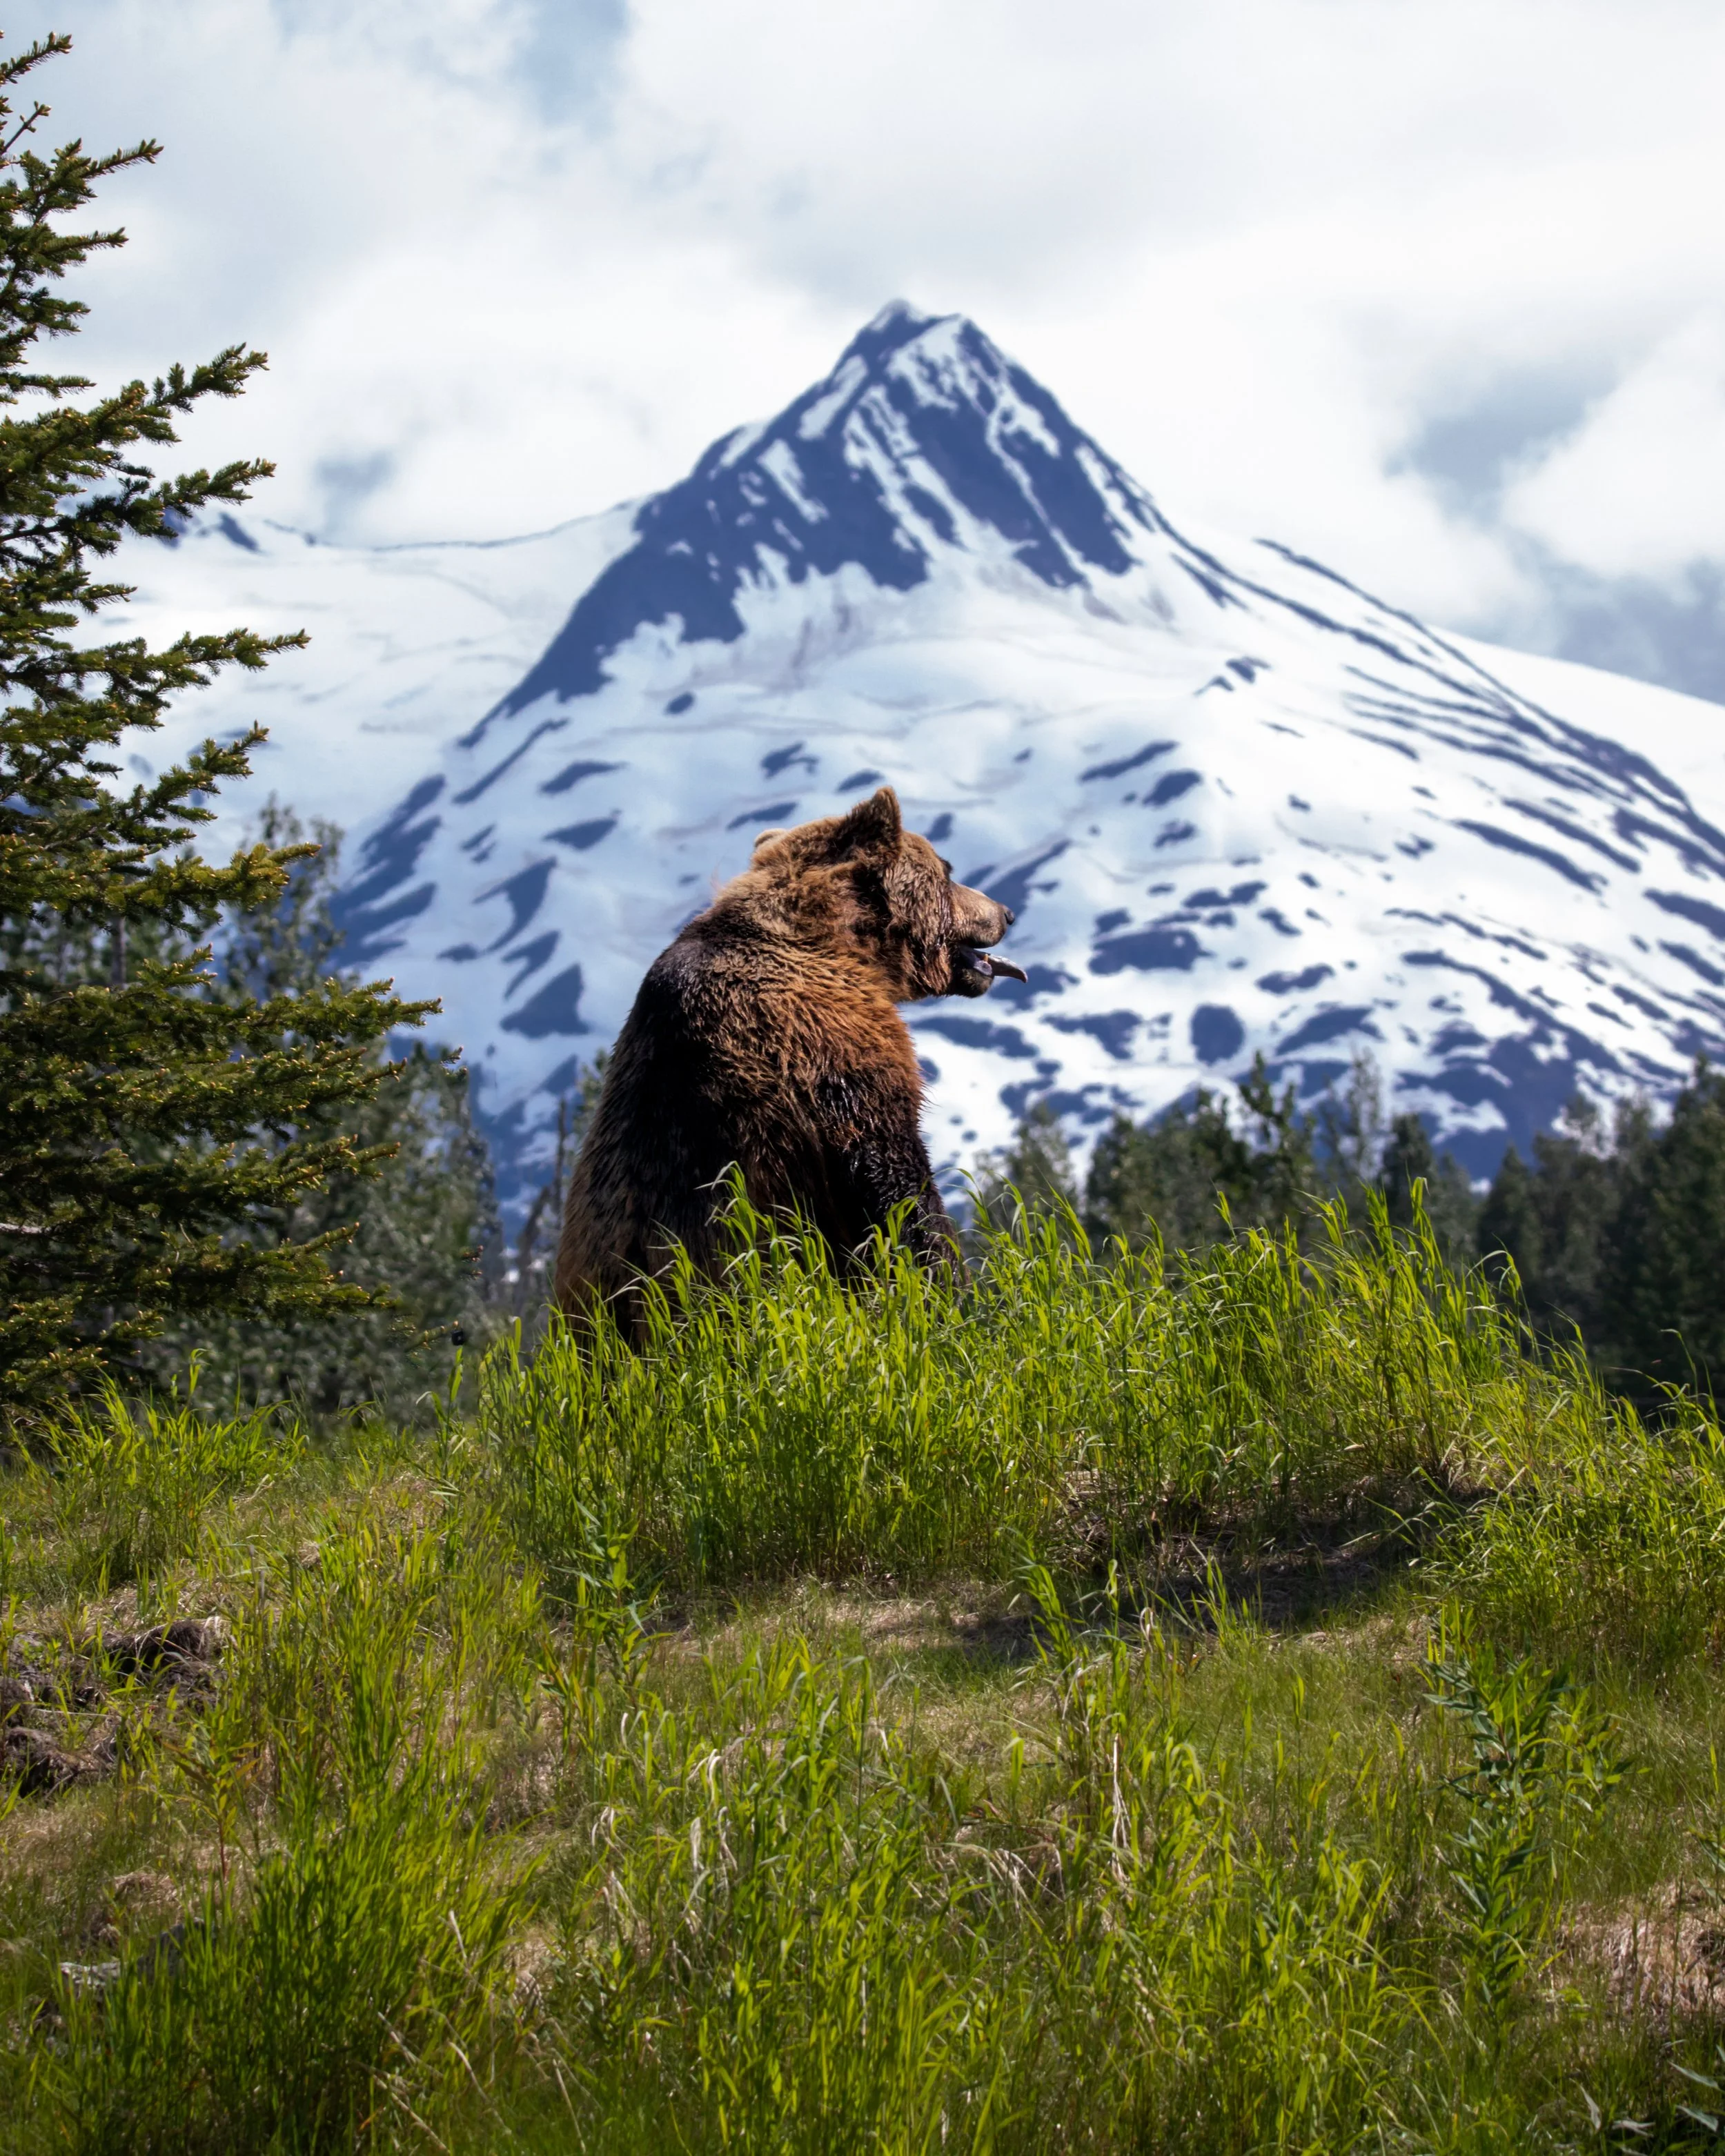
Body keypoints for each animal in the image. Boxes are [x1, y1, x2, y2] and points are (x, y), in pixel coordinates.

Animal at [553, 785, 1024, 1335]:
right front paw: (955, 1292)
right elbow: (893, 1179)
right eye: (947, 870)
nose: (1005, 912)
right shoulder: (823, 1048)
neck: (839, 944)